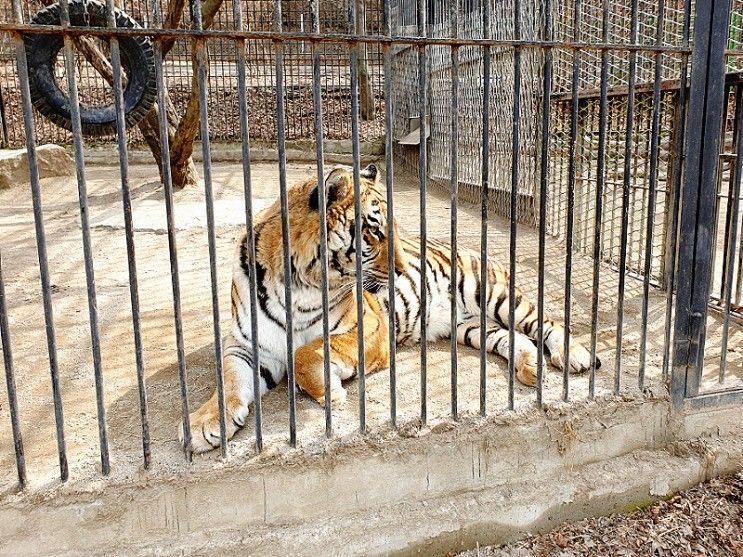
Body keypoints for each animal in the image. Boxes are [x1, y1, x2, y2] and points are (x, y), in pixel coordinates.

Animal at [179, 163, 600, 454]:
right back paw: (533, 370)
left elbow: (306, 351)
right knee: (515, 341)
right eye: (374, 231)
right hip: (473, 328)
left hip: (496, 295)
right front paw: (203, 425)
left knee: (546, 323)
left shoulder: (371, 327)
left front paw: (330, 390)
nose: (400, 269)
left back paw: (575, 356)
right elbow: (228, 381)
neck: (297, 283)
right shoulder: (245, 346)